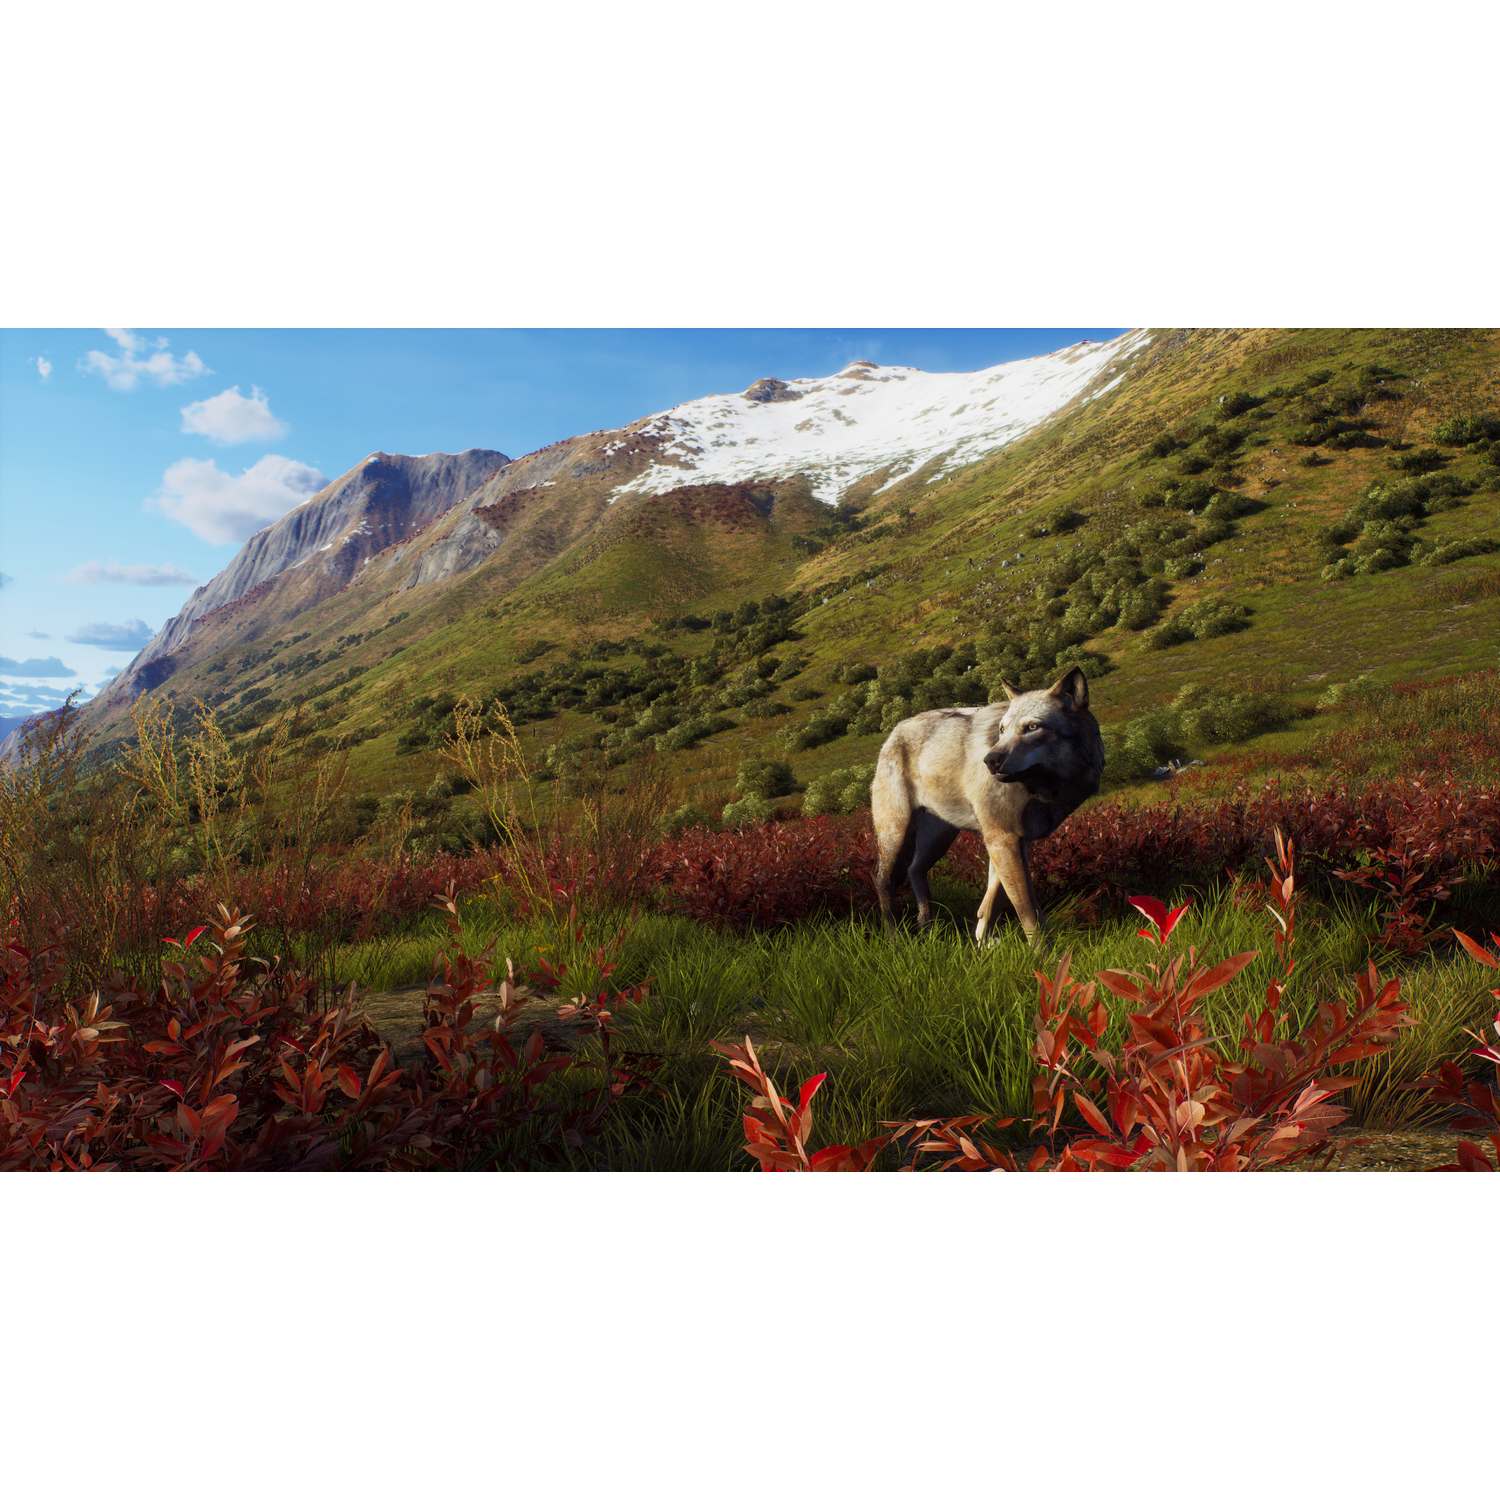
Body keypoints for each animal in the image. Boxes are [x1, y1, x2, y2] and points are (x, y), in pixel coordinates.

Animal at [870, 667, 1104, 948]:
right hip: (897, 834)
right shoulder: (1002, 838)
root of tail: (893, 731)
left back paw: (927, 928)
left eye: (1032, 727)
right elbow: (1027, 910)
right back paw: (895, 937)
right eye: (1002, 730)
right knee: (883, 881)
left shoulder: (1012, 840)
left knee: (915, 870)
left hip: (939, 838)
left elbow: (995, 897)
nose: (990, 760)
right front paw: (1045, 954)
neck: (1044, 790)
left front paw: (985, 940)